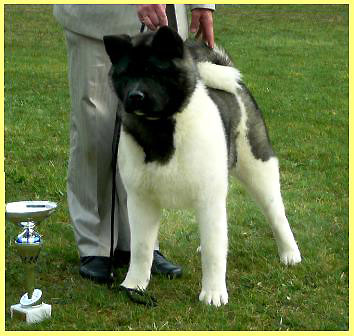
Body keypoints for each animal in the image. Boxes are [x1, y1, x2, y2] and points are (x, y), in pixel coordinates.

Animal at [103, 26, 302, 308]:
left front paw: (213, 293)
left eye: (153, 72)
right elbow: (141, 247)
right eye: (126, 74)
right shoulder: (141, 200)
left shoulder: (209, 198)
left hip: (258, 168)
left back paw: (289, 253)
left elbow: (213, 250)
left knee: (276, 214)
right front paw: (134, 285)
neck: (164, 127)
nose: (135, 97)